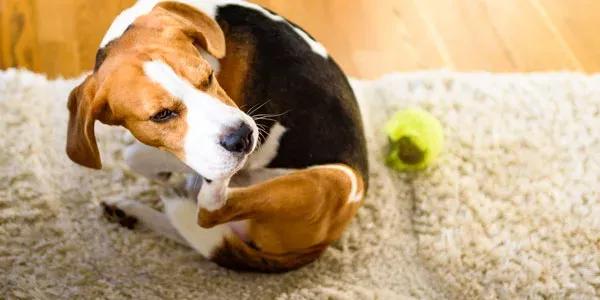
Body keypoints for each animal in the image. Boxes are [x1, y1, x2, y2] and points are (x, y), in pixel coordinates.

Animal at [67, 0, 366, 274]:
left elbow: (135, 156)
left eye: (209, 77)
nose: (243, 138)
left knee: (209, 212)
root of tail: (323, 243)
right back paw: (131, 210)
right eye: (161, 115)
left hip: (340, 179)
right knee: (199, 231)